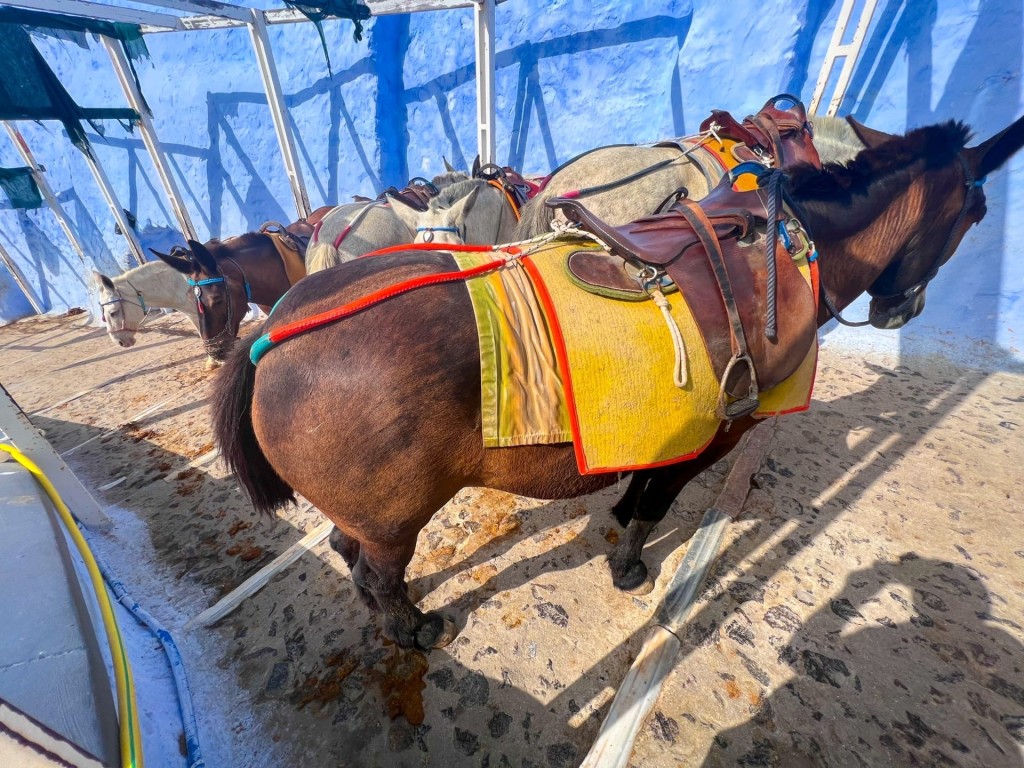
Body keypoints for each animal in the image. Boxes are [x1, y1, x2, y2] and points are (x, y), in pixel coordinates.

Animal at [209, 117, 1024, 651]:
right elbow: (655, 504)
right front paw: (630, 565)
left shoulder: (671, 434)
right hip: (393, 521)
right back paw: (410, 629)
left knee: (348, 552)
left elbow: (643, 488)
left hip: (369, 513)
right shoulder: (714, 436)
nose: (904, 310)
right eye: (978, 211)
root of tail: (274, 335)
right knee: (379, 574)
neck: (789, 253)